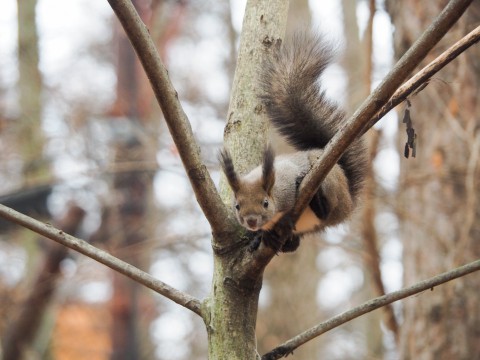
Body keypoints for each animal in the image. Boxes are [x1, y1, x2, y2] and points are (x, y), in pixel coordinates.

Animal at [220, 33, 368, 253]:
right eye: (237, 206)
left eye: (265, 203)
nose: (252, 221)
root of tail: (349, 201)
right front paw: (260, 236)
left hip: (332, 184)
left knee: (326, 212)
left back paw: (317, 202)